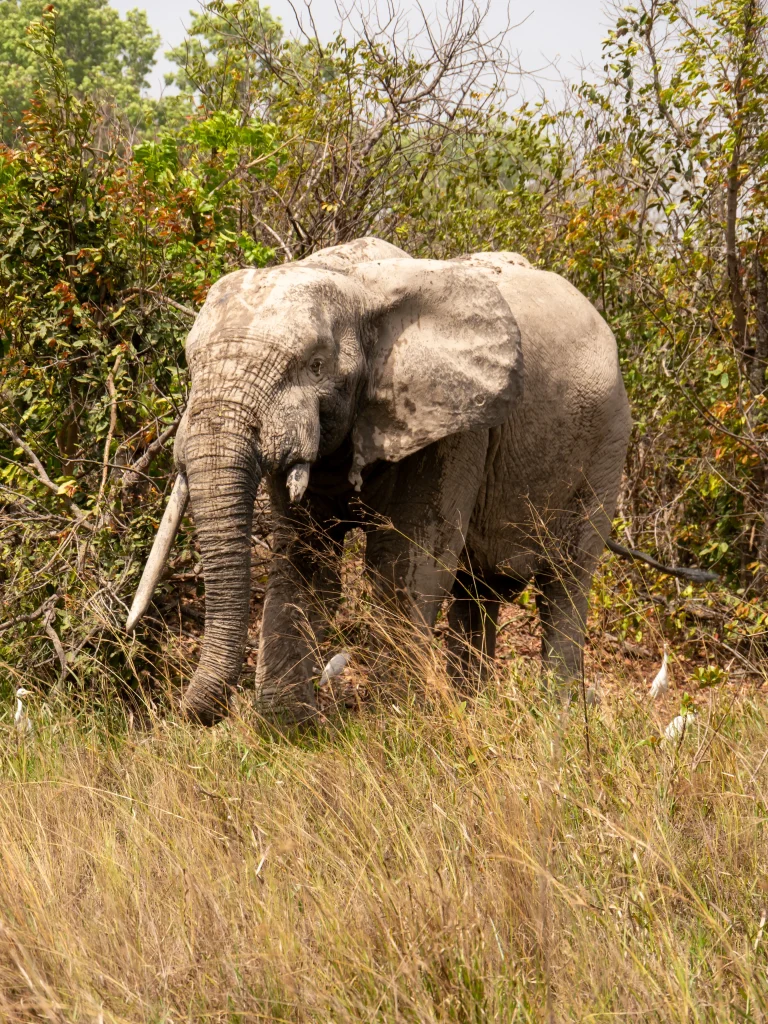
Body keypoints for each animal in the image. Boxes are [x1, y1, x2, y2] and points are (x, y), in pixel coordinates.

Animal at [126, 236, 632, 725]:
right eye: (191, 366)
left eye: (314, 365)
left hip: (606, 447)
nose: (188, 713)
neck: (354, 285)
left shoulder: (453, 428)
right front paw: (287, 729)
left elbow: (407, 564)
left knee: (565, 583)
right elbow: (304, 559)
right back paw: (472, 711)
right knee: (476, 591)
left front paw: (399, 725)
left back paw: (557, 723)